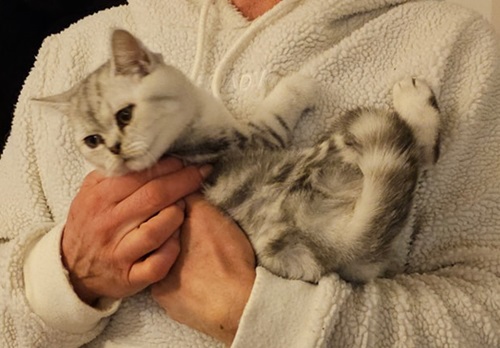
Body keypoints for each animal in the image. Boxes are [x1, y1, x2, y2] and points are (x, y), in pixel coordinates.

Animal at [38, 29, 442, 282]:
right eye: (92, 140)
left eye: (125, 115)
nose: (115, 151)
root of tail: (338, 243)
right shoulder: (252, 138)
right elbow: (278, 110)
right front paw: (299, 84)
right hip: (333, 152)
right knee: (416, 156)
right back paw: (414, 100)